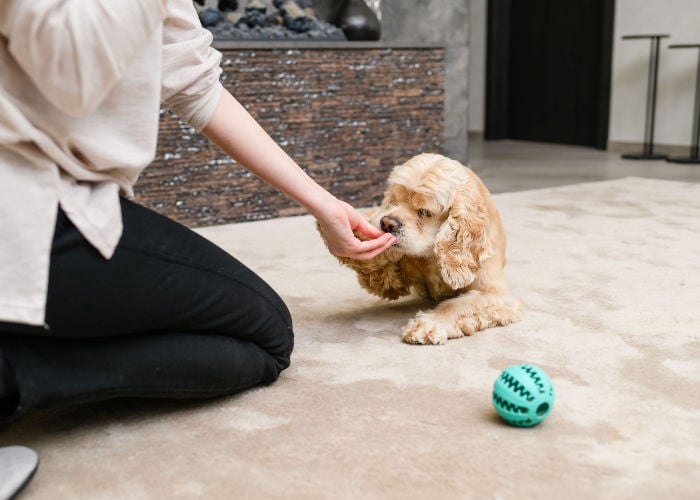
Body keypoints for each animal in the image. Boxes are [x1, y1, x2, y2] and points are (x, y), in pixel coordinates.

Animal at [330, 152, 524, 346]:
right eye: (394, 200)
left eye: (424, 212)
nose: (386, 223)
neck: (431, 256)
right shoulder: (394, 277)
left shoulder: (495, 293)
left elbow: (458, 305)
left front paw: (428, 324)